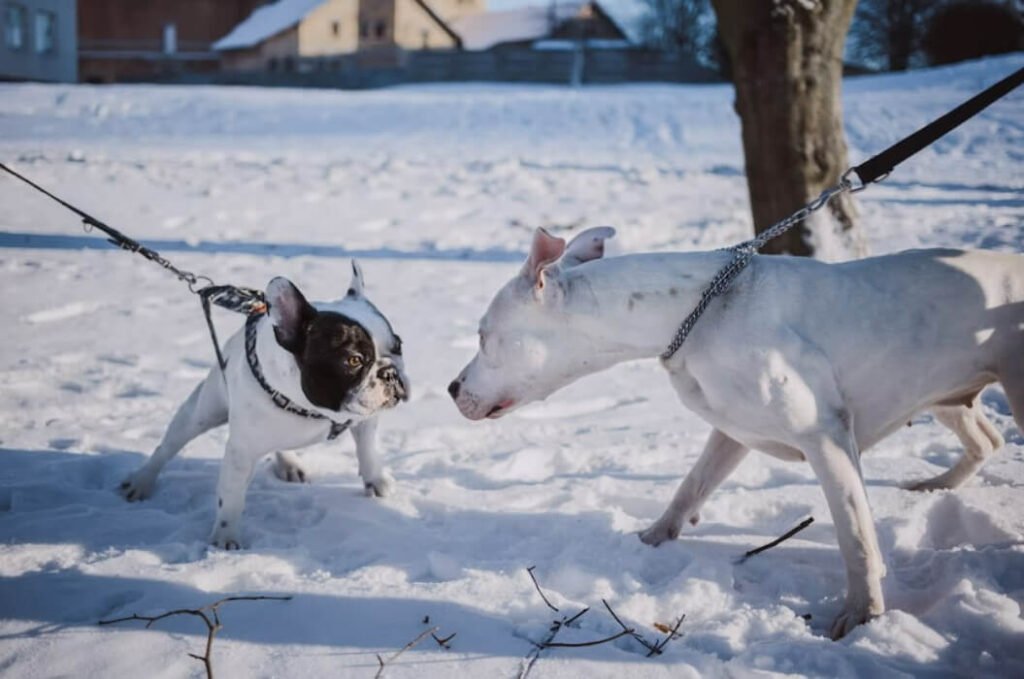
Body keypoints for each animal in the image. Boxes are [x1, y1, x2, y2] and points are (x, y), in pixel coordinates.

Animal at [119, 262, 407, 548]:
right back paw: (140, 482)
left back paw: (290, 464)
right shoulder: (241, 452)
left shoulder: (366, 418)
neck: (313, 409)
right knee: (168, 446)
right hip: (203, 412)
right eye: (354, 360)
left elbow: (367, 449)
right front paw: (225, 539)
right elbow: (231, 496)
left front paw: (377, 481)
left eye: (399, 346)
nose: (391, 373)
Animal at [450, 231, 1024, 639]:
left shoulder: (826, 438)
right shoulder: (730, 431)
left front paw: (862, 616)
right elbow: (691, 486)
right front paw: (651, 541)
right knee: (986, 440)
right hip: (946, 394)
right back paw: (935, 486)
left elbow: (855, 535)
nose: (452, 387)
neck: (689, 314)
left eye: (482, 335)